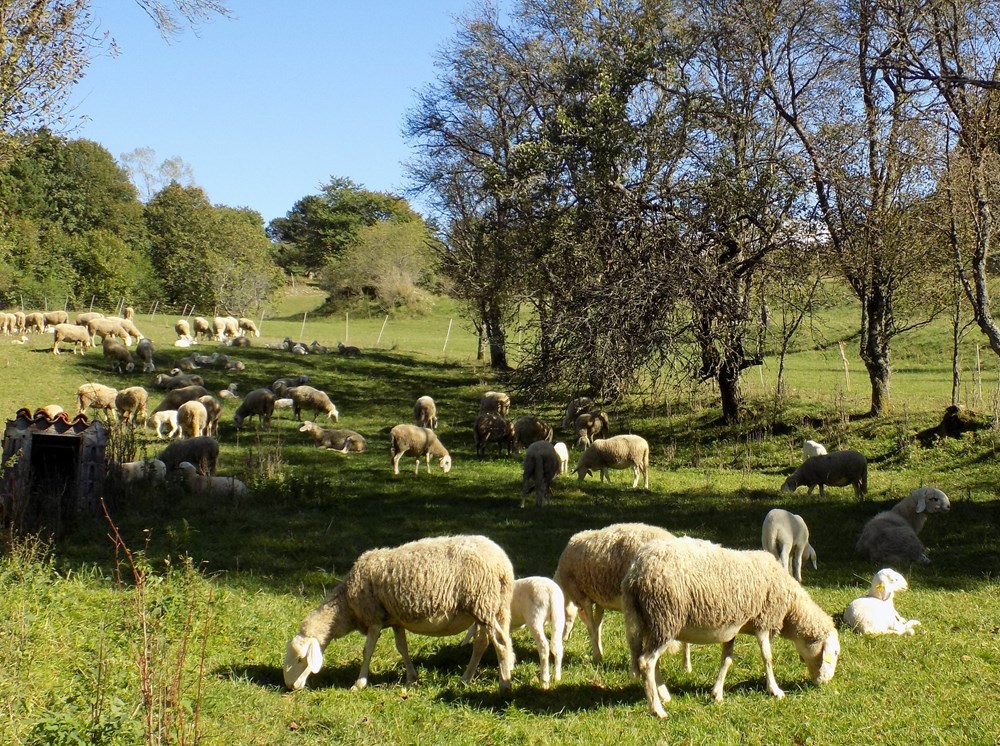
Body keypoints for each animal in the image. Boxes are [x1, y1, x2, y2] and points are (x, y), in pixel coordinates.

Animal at [282, 536, 516, 692]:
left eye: (301, 659)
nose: (291, 686)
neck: (346, 605)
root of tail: (503, 564)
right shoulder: (395, 619)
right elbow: (402, 647)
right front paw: (412, 678)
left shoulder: (374, 617)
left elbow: (367, 651)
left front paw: (359, 683)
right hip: (493, 607)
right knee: (482, 644)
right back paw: (466, 679)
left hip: (484, 603)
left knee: (501, 644)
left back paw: (503, 684)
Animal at [552, 520, 676, 660]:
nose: (564, 639)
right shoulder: (599, 599)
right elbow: (598, 625)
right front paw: (600, 651)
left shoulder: (582, 596)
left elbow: (591, 626)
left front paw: (597, 655)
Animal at [620, 536, 840, 716]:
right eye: (835, 653)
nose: (824, 683)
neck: (789, 608)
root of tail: (636, 572)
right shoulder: (762, 621)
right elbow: (767, 658)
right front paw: (775, 690)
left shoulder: (732, 627)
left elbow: (726, 660)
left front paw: (717, 693)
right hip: (665, 619)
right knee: (646, 662)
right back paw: (657, 709)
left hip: (649, 622)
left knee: (649, 661)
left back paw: (664, 695)